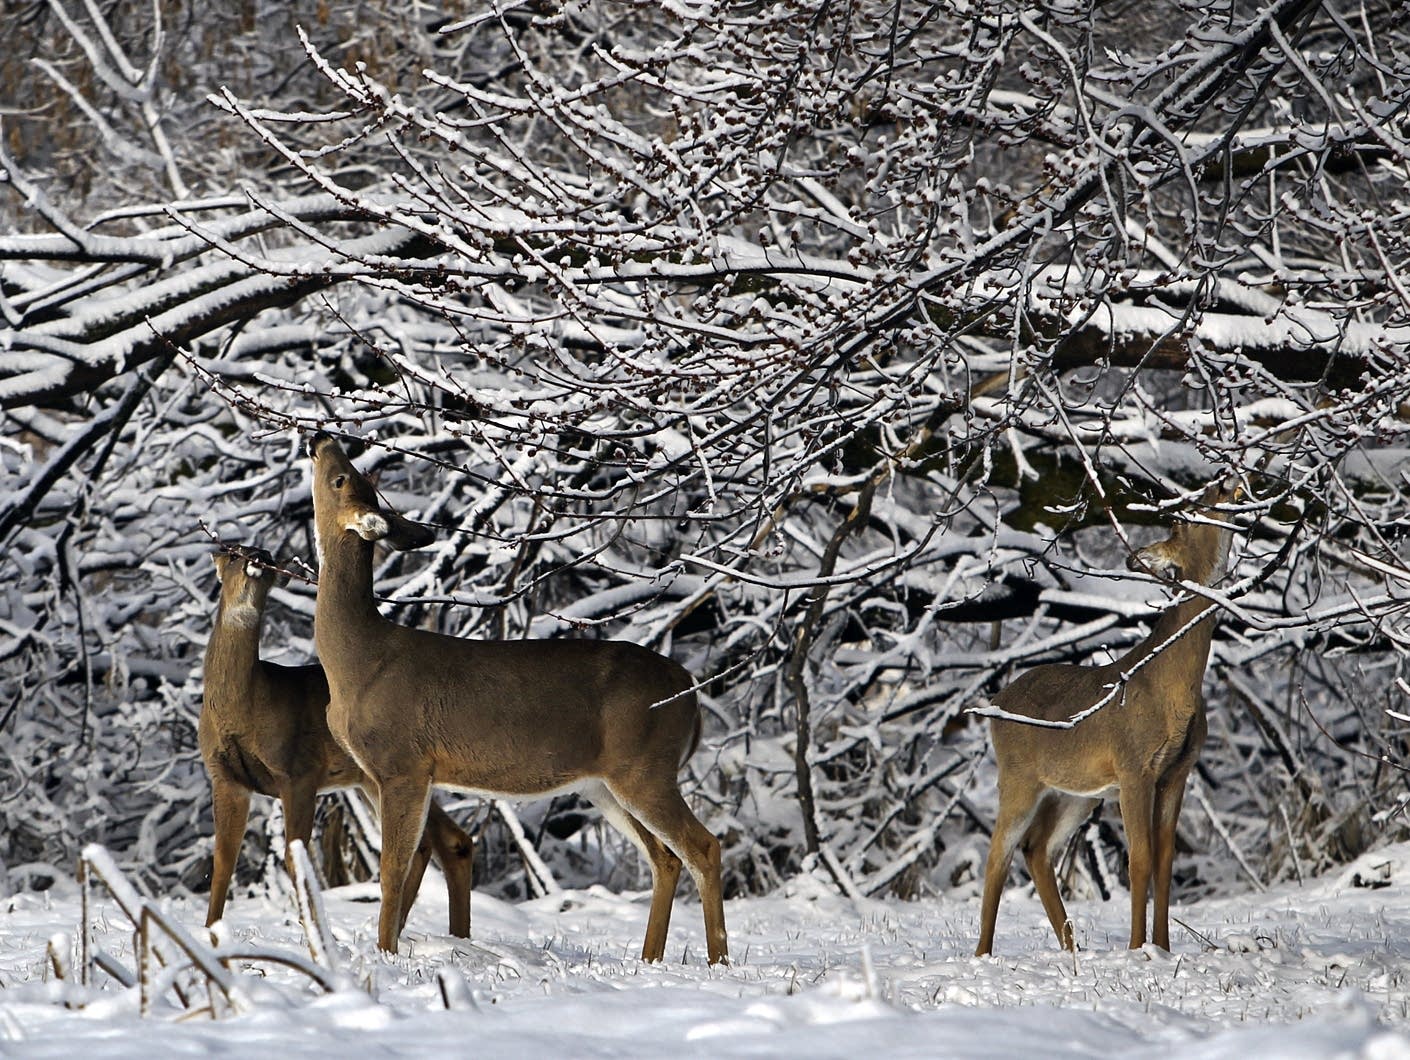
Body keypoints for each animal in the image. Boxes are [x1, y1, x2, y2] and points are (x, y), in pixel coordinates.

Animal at [198, 546, 473, 935]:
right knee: (442, 842)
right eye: (234, 554)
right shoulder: (224, 776)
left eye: (268, 557)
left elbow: (295, 857)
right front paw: (210, 932)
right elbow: (223, 859)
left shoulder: (298, 769)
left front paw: (313, 932)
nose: (260, 556)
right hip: (375, 779)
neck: (245, 707)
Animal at [305, 434, 727, 964]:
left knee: (703, 847)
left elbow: (391, 871)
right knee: (664, 857)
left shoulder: (402, 764)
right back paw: (649, 959)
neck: (358, 660)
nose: (321, 439)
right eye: (356, 475)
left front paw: (386, 954)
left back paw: (717, 961)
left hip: (647, 766)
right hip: (605, 783)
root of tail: (690, 693)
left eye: (341, 477)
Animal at [975, 484, 1240, 958]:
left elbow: (1165, 860)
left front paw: (1163, 949)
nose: (1222, 483)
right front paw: (1138, 949)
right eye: (1182, 520)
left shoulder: (1177, 771)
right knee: (997, 854)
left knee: (1037, 849)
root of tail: (995, 701)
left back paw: (1070, 947)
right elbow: (1140, 858)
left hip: (1076, 793)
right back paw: (983, 954)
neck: (1173, 686)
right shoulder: (1134, 765)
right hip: (1019, 775)